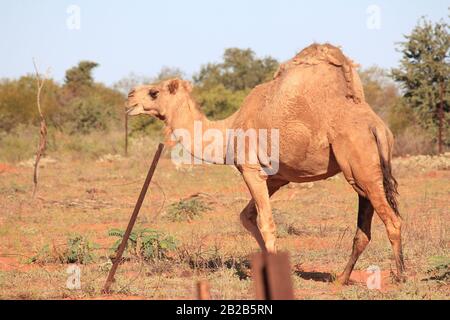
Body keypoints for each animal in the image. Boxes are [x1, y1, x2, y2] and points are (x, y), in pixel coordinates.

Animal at [125, 43, 406, 284]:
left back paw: (401, 276)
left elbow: (266, 224)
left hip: (361, 167)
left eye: (154, 92)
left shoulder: (250, 168)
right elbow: (246, 216)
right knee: (364, 229)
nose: (129, 97)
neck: (229, 129)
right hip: (364, 172)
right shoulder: (277, 177)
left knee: (393, 220)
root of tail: (377, 126)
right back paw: (341, 278)